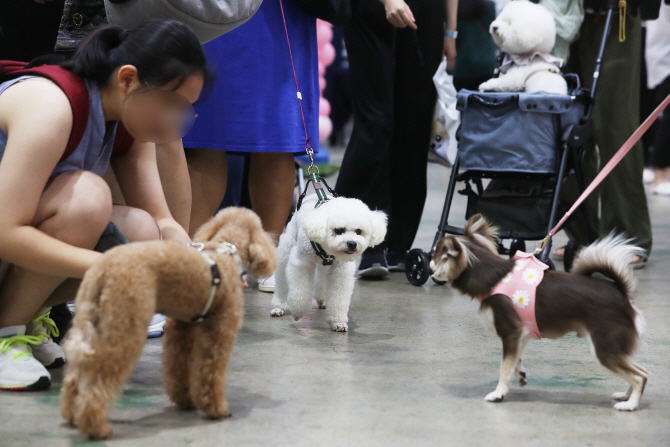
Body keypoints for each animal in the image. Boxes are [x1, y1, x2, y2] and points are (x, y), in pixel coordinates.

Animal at [272, 194, 388, 330]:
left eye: (359, 231)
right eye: (339, 230)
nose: (352, 244)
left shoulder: (341, 271)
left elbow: (338, 298)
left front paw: (338, 321)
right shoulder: (302, 263)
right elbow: (300, 291)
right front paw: (298, 311)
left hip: (324, 267)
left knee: (320, 279)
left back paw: (321, 299)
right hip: (287, 246)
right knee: (282, 281)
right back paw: (278, 306)